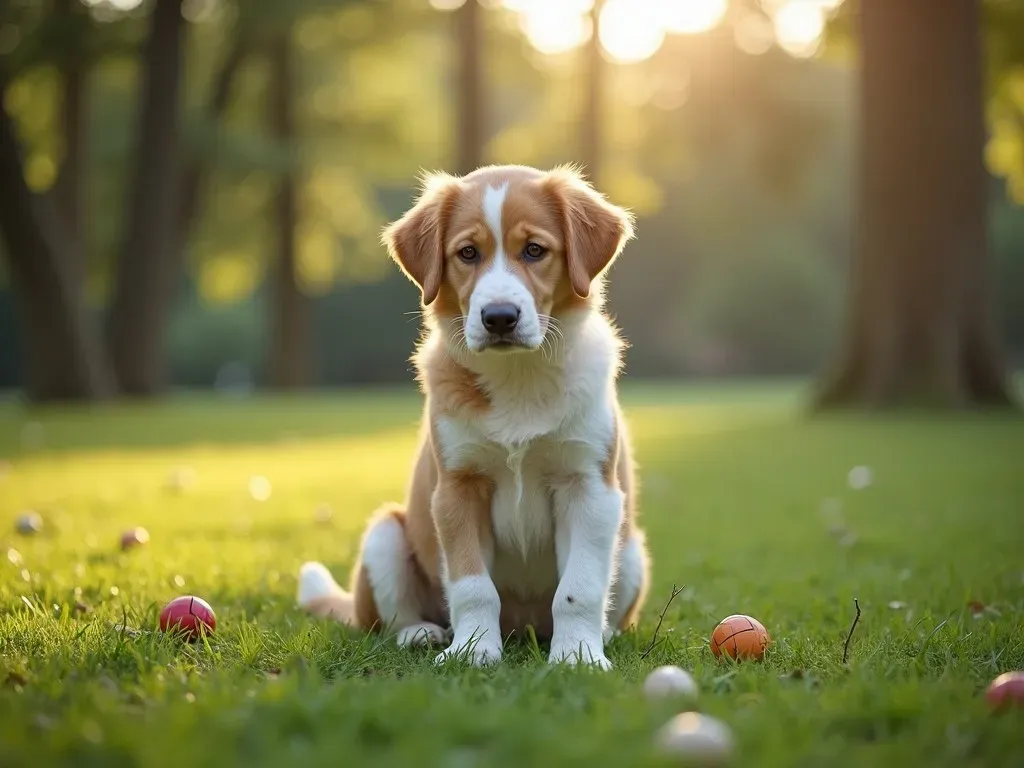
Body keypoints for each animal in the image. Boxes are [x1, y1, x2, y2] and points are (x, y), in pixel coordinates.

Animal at [296, 163, 647, 667]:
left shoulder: (589, 486)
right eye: (467, 253)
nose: (499, 317)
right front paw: (473, 651)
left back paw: (601, 634)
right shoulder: (458, 488)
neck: (518, 375)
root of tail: (524, 628)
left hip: (632, 549)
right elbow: (472, 586)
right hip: (385, 534)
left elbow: (578, 588)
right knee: (389, 620)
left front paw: (578, 654)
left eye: (535, 250)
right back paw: (421, 634)